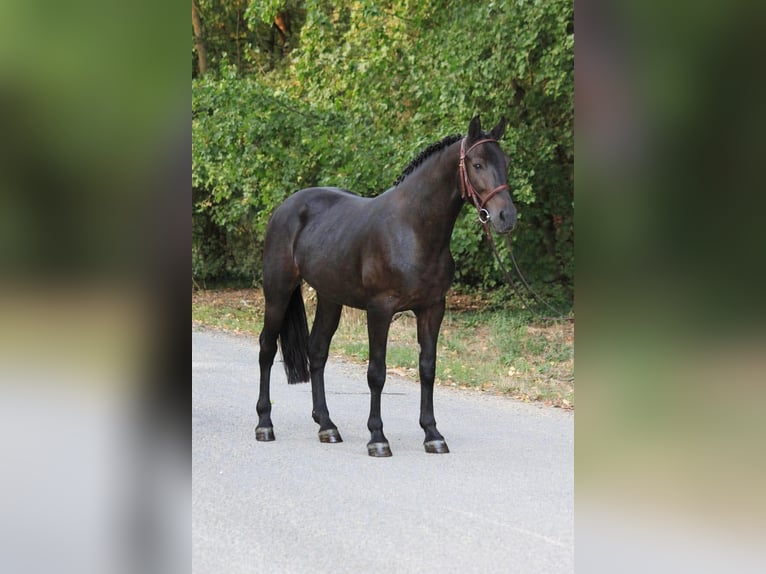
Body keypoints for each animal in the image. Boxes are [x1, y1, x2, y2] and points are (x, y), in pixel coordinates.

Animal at [255, 116, 517, 456]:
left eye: (506, 162)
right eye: (477, 164)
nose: (506, 217)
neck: (412, 229)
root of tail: (286, 207)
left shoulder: (433, 308)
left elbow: (428, 368)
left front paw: (432, 434)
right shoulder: (380, 310)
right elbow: (377, 373)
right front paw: (378, 437)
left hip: (330, 298)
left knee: (317, 351)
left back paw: (327, 426)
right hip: (278, 291)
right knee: (267, 348)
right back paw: (264, 424)